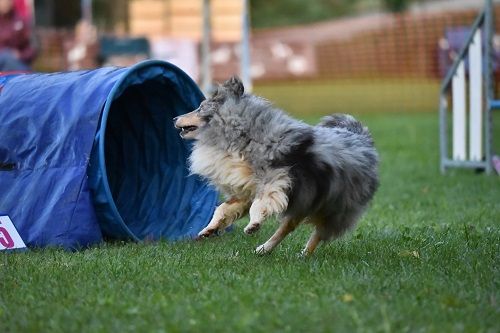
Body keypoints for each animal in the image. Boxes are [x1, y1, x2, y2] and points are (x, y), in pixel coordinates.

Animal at [174, 76, 376, 254]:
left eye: (199, 108)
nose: (174, 118)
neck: (243, 135)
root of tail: (362, 136)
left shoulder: (275, 180)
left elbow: (259, 204)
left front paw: (253, 225)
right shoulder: (246, 188)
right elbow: (223, 208)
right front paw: (208, 229)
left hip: (332, 206)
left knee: (313, 232)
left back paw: (302, 253)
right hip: (306, 201)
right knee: (289, 228)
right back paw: (267, 250)